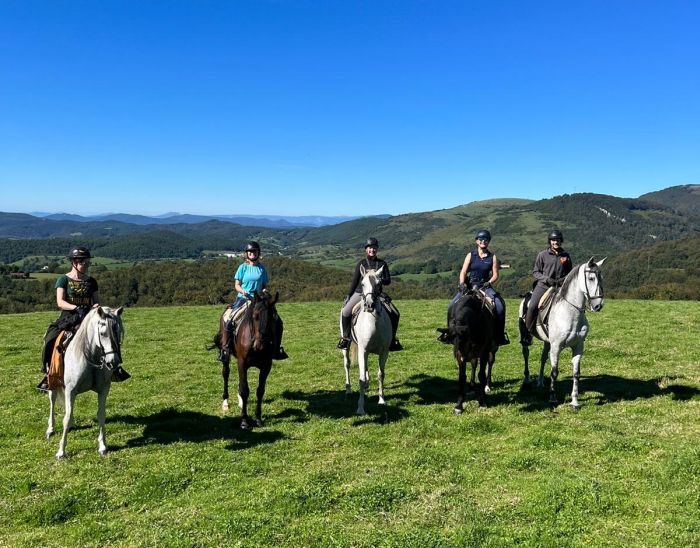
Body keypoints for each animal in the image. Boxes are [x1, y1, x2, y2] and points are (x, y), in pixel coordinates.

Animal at [46, 306, 124, 460]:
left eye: (118, 332)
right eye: (102, 333)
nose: (113, 362)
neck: (90, 356)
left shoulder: (104, 389)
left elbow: (101, 415)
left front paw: (102, 446)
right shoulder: (70, 390)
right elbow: (66, 418)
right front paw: (61, 451)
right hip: (52, 381)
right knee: (52, 400)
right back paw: (50, 429)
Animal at [340, 266, 394, 416]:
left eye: (379, 284)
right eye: (362, 284)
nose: (369, 305)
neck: (373, 322)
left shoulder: (384, 352)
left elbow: (381, 374)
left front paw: (381, 400)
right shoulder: (362, 350)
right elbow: (361, 379)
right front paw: (360, 408)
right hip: (347, 347)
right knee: (347, 364)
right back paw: (348, 389)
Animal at [516, 260, 604, 408]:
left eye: (601, 278)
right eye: (591, 278)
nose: (598, 305)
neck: (570, 313)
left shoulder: (578, 347)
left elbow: (576, 373)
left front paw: (574, 401)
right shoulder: (556, 347)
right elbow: (554, 372)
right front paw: (552, 398)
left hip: (547, 342)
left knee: (543, 357)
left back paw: (540, 382)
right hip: (526, 337)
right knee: (526, 353)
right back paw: (527, 379)